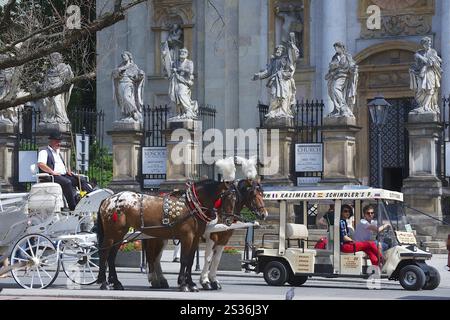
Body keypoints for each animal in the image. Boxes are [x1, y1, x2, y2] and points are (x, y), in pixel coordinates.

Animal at [96, 180, 237, 292]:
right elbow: (184, 260)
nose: (229, 220)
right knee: (104, 254)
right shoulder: (187, 237)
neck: (191, 206)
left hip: (120, 234)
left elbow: (191, 261)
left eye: (236, 199)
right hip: (112, 233)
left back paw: (116, 283)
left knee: (112, 256)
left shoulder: (196, 238)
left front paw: (191, 284)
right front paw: (183, 284)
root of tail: (108, 199)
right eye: (226, 197)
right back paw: (104, 283)